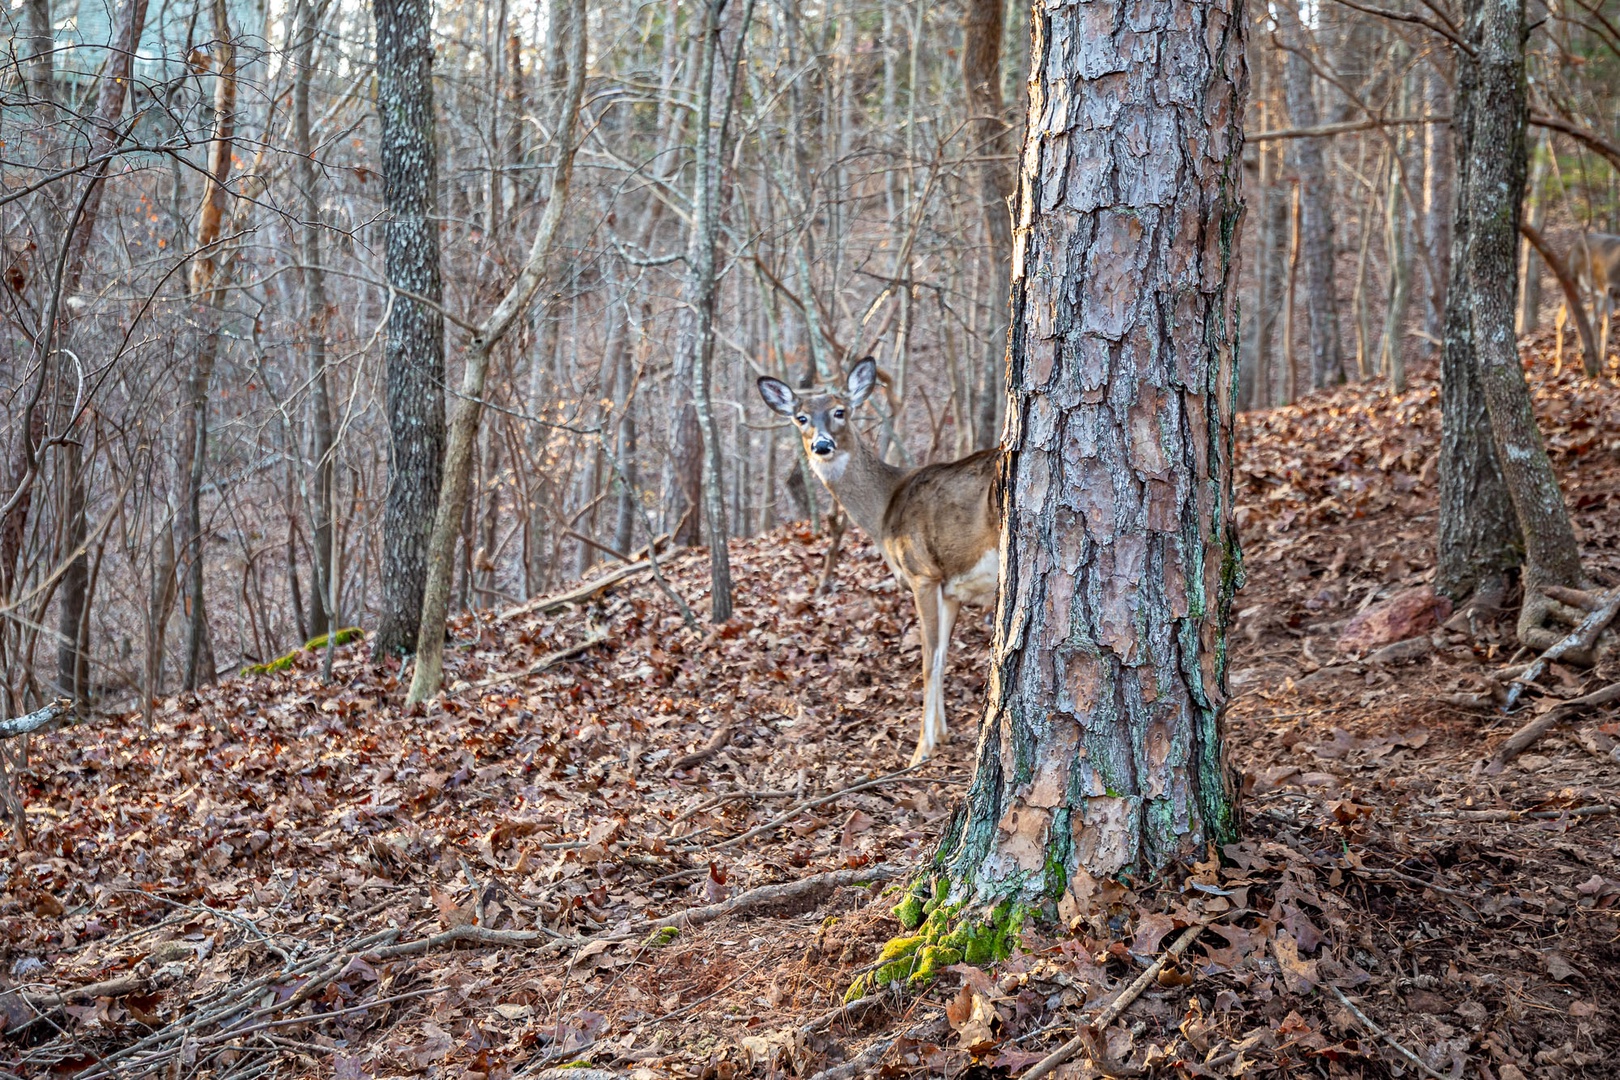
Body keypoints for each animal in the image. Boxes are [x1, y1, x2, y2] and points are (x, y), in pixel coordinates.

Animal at [758, 359, 997, 764]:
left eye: (840, 411)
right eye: (801, 418)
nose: (822, 445)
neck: (885, 509)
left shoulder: (922, 572)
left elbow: (927, 660)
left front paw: (920, 751)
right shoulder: (951, 587)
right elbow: (942, 656)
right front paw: (943, 735)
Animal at [1555, 229, 1620, 369]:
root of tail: (1571, 249)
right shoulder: (1609, 290)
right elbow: (1605, 330)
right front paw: (1603, 364)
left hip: (1596, 292)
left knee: (1588, 316)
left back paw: (1584, 355)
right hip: (1573, 280)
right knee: (1563, 319)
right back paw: (1558, 367)